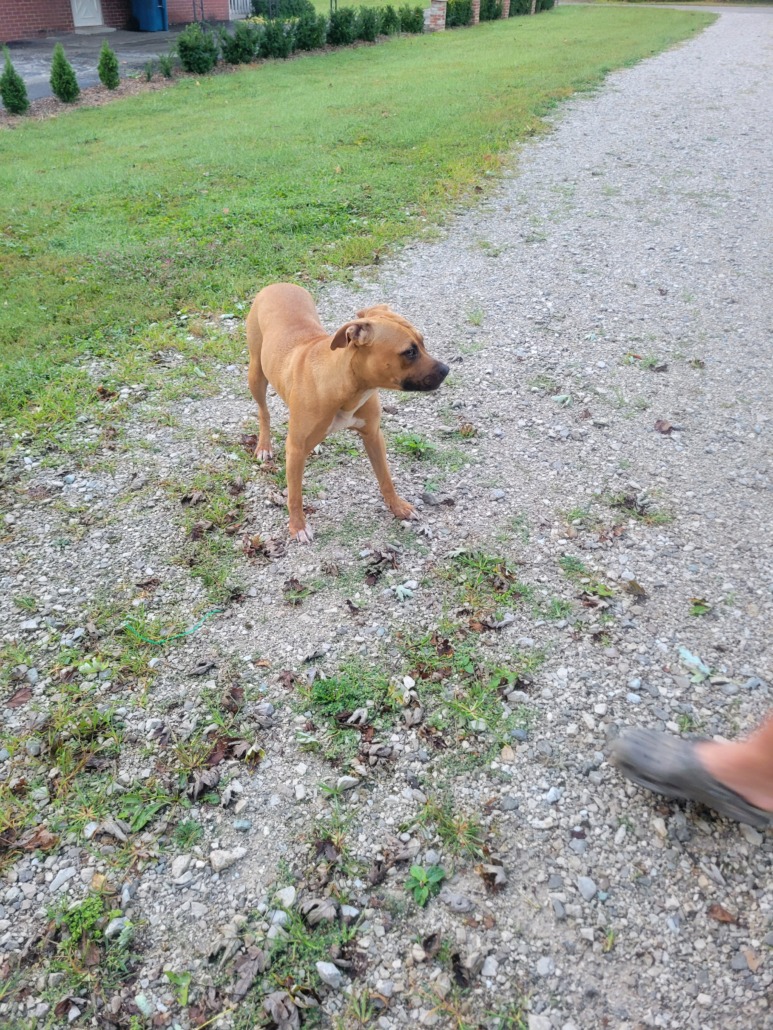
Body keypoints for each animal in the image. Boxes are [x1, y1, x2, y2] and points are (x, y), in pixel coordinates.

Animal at [246, 283, 449, 543]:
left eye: (422, 343)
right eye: (409, 352)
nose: (446, 369)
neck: (348, 386)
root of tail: (279, 284)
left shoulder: (373, 435)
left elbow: (385, 478)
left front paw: (398, 507)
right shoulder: (295, 448)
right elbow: (295, 495)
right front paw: (297, 526)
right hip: (256, 374)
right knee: (264, 412)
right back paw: (264, 446)